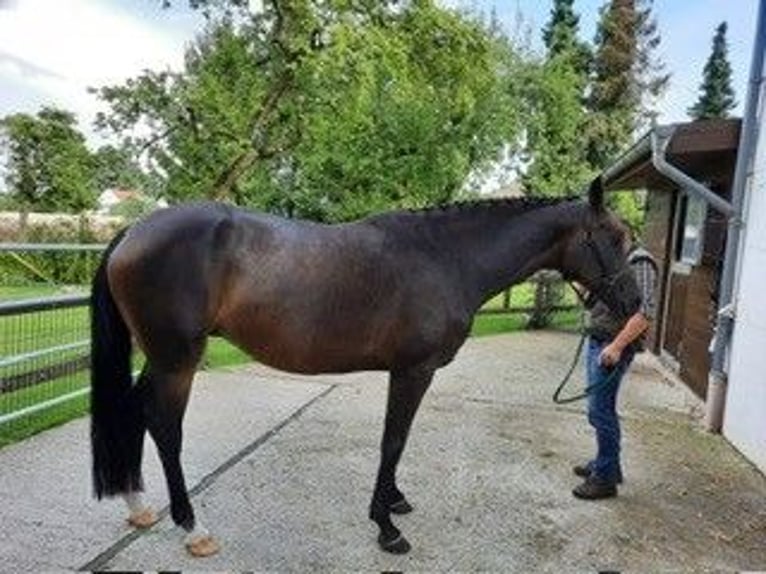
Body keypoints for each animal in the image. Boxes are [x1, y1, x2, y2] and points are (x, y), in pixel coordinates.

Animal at [90, 178, 640, 560]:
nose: (635, 303)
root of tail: (132, 231)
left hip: (161, 359)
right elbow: (393, 440)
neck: (445, 257)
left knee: (136, 412)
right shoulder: (413, 371)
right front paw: (387, 528)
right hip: (177, 360)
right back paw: (193, 529)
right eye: (612, 237)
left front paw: (393, 501)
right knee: (165, 427)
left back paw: (139, 506)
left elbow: (398, 441)